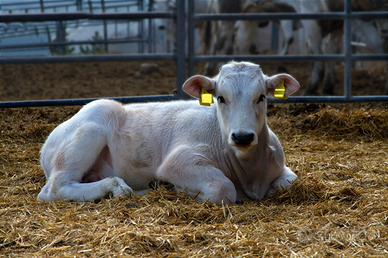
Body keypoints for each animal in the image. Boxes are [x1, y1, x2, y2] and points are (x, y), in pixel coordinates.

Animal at [38, 61, 300, 205]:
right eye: (221, 98)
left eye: (262, 97)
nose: (242, 137)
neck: (250, 174)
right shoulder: (178, 162)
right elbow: (223, 188)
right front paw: (180, 190)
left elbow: (290, 181)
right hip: (89, 131)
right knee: (55, 188)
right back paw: (116, 187)